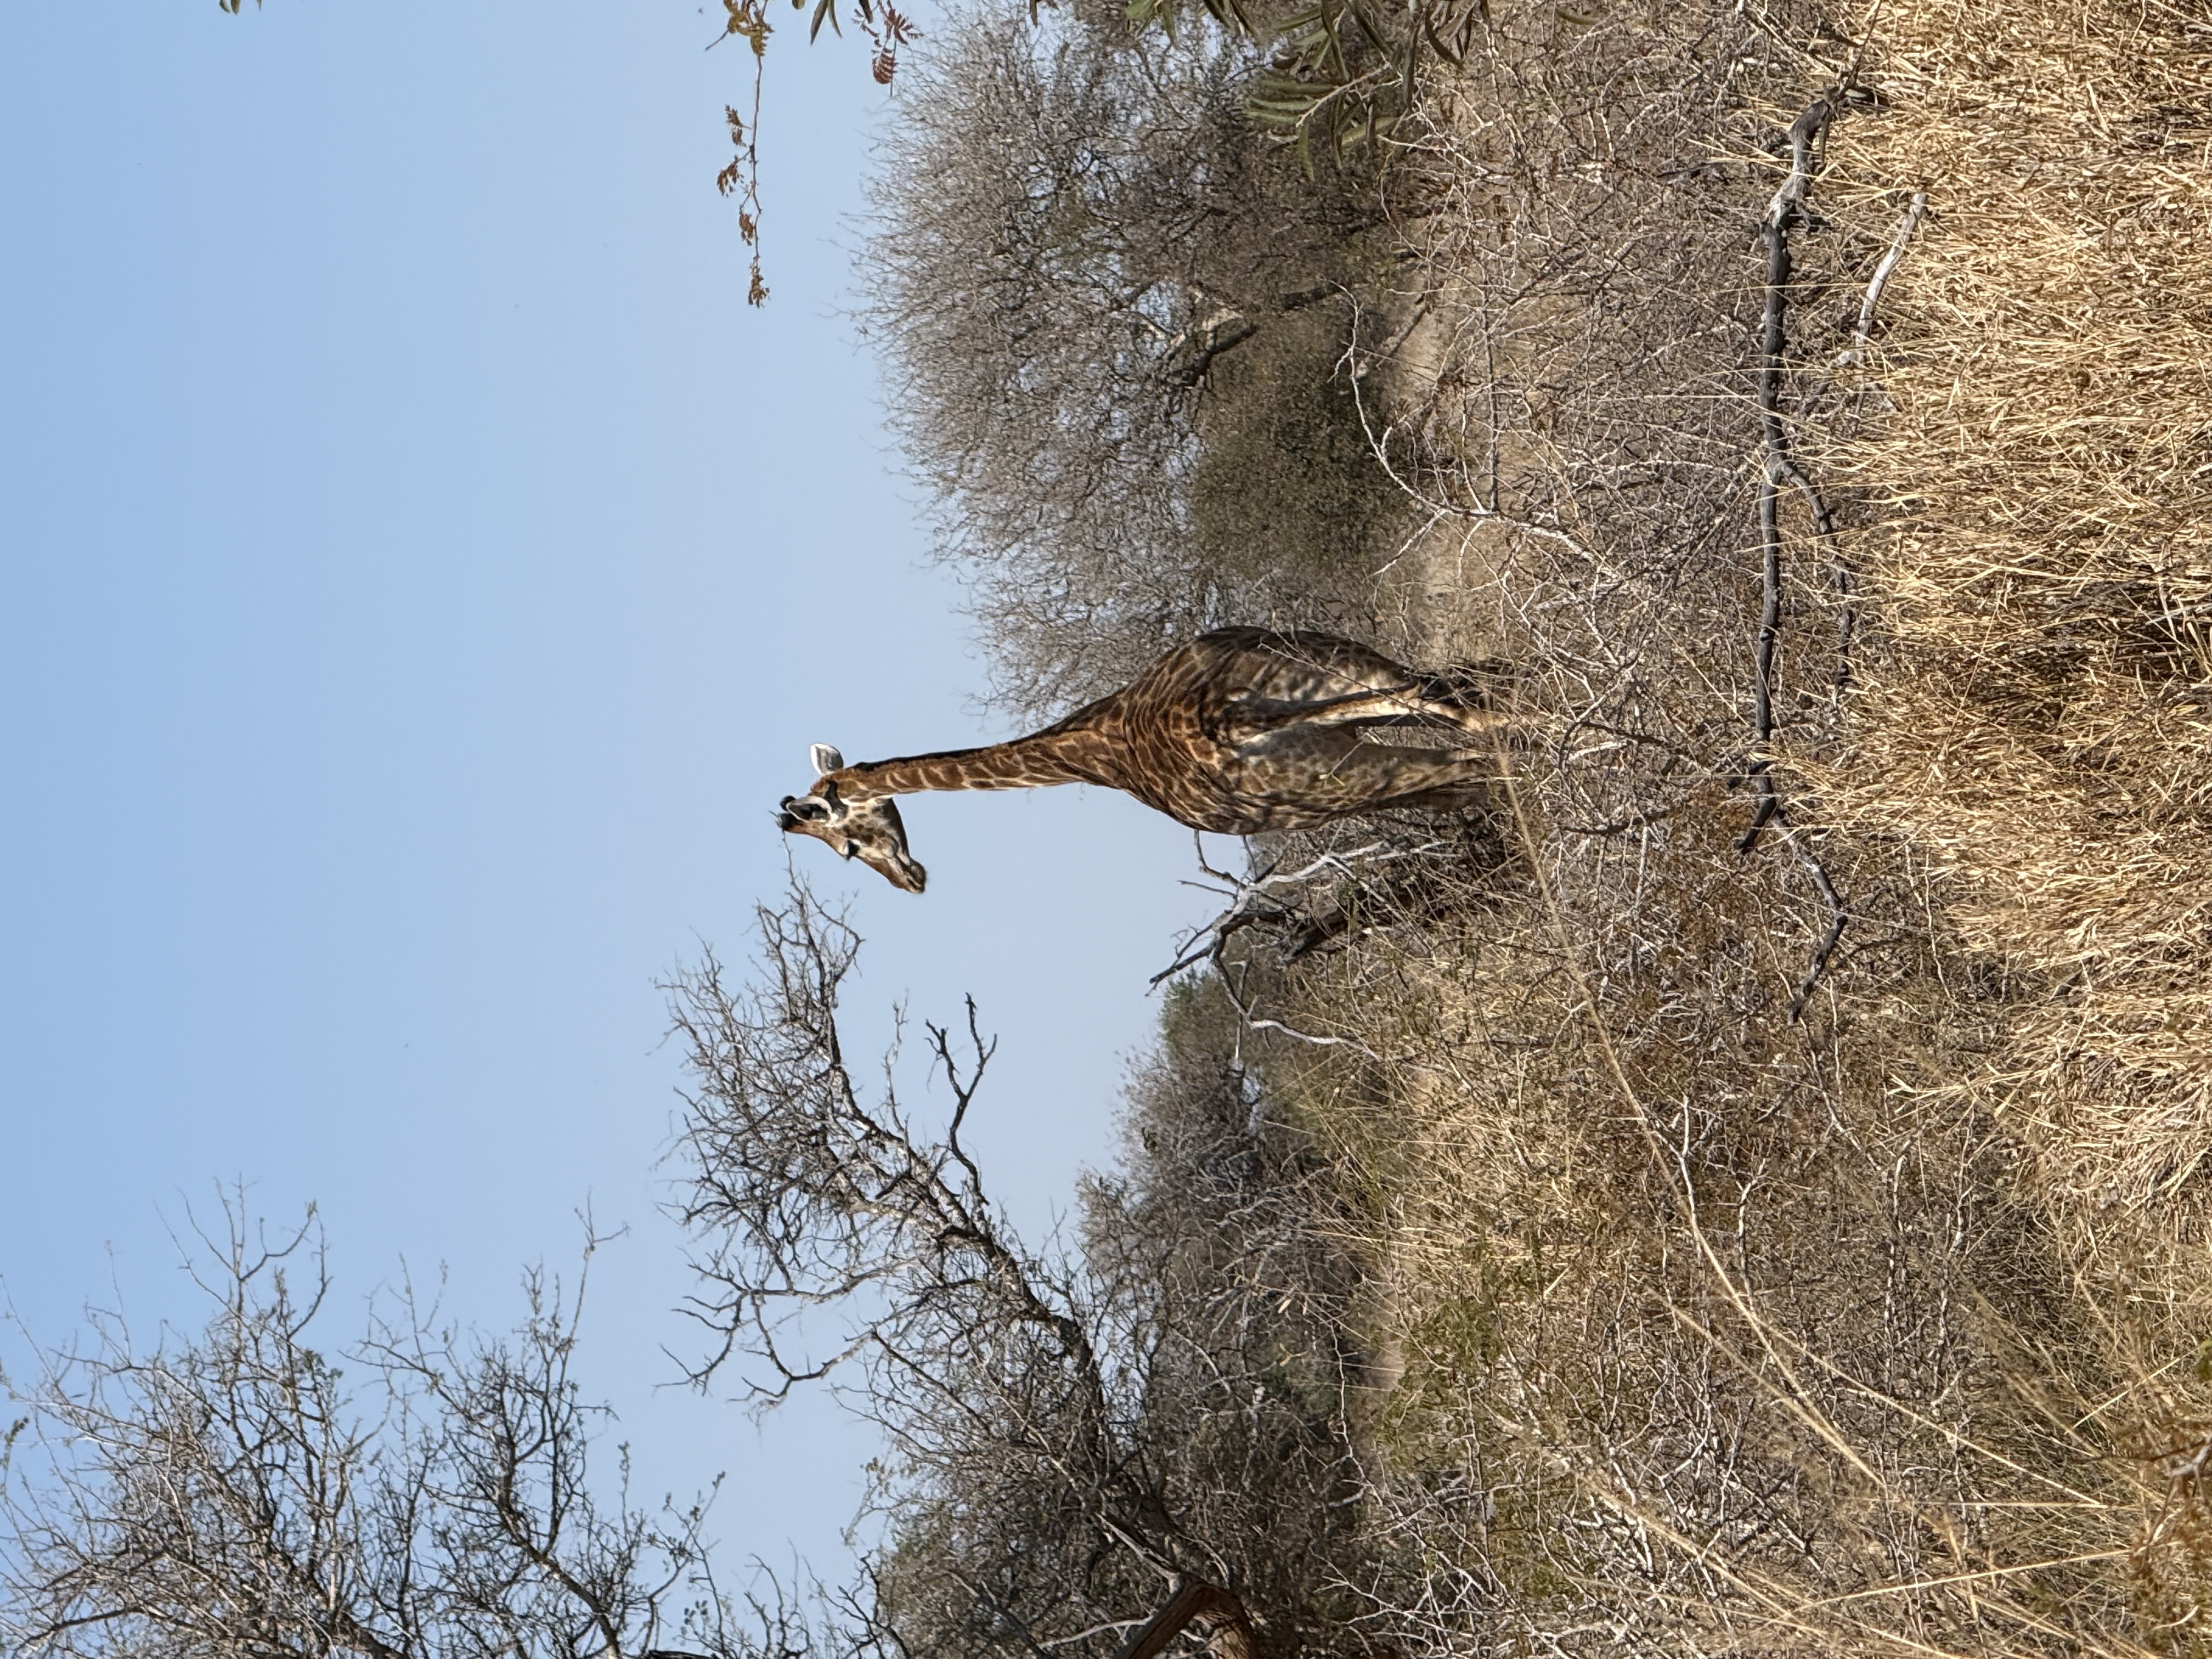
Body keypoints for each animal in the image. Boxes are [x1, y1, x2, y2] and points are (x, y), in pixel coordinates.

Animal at [778, 628, 1511, 893]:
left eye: (845, 847)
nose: (913, 881)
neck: (1092, 755)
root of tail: (1227, 720)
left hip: (1328, 778)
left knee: (1477, 756)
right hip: (1338, 679)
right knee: (1457, 704)